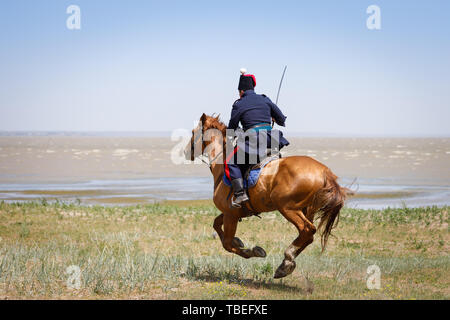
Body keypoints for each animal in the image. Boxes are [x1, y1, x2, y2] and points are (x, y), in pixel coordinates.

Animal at [183, 114, 348, 278]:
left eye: (193, 132)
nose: (185, 152)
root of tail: (324, 171)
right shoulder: (234, 212)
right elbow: (216, 224)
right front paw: (238, 241)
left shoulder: (231, 214)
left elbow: (227, 244)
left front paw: (253, 251)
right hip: (307, 209)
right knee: (308, 235)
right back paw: (287, 262)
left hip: (288, 208)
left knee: (307, 229)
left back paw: (287, 260)